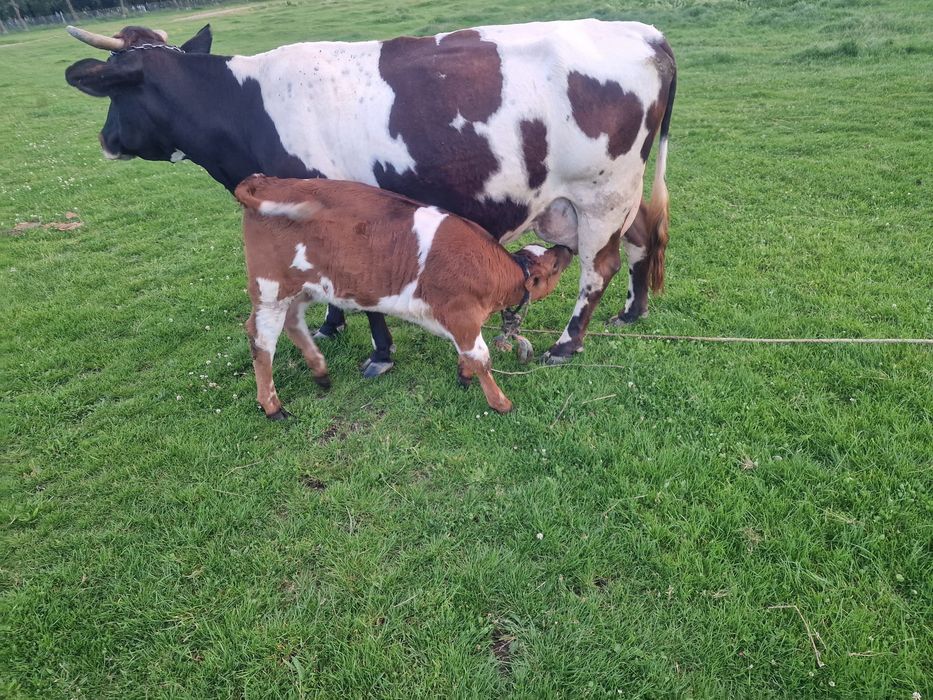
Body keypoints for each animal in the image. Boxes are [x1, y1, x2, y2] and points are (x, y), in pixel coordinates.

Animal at [65, 19, 675, 370]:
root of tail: (646, 34)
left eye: (116, 92)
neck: (244, 108)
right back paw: (633, 312)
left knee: (598, 268)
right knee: (643, 238)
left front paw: (379, 353)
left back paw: (566, 345)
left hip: (599, 193)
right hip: (615, 195)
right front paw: (332, 327)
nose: (106, 139)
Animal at [234, 174, 573, 417]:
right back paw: (273, 407)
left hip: (302, 288)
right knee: (261, 339)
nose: (566, 249)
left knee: (293, 322)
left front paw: (463, 377)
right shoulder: (461, 314)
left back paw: (320, 372)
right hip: (271, 288)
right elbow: (481, 357)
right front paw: (500, 403)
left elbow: (467, 354)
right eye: (554, 267)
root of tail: (266, 181)